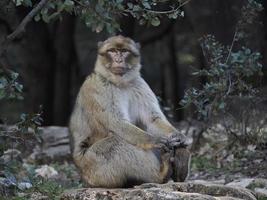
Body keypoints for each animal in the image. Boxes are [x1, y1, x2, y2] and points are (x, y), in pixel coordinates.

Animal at [69, 35, 191, 188]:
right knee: (118, 143)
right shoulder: (99, 87)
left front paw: (179, 137)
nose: (118, 59)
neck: (119, 83)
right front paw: (154, 140)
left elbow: (153, 119)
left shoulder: (139, 84)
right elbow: (117, 123)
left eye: (124, 51)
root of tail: (83, 178)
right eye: (112, 51)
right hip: (94, 170)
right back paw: (161, 175)